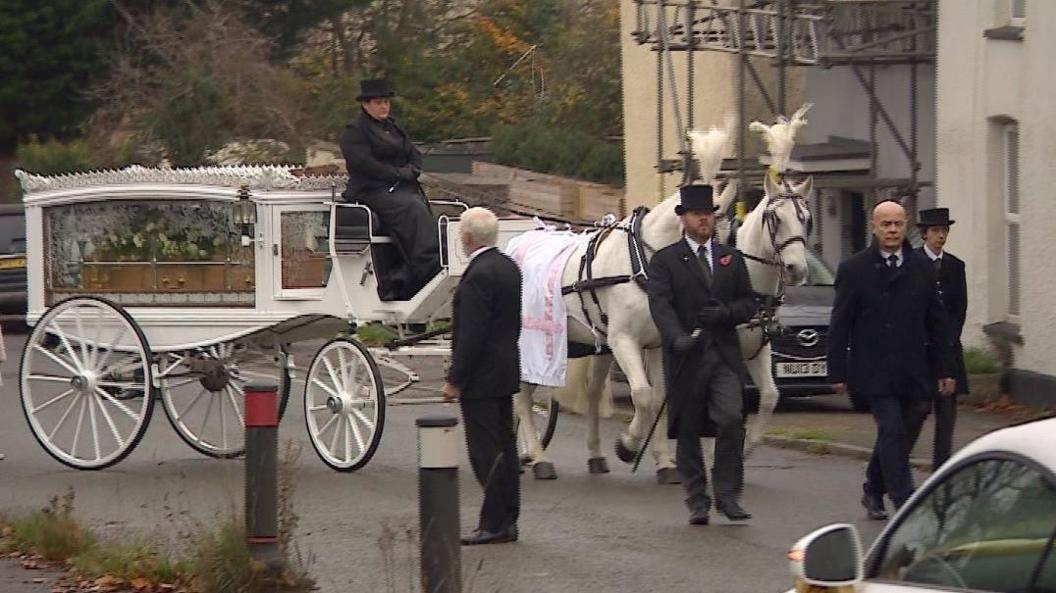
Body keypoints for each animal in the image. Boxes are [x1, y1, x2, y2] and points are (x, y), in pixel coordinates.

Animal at [515, 104, 811, 481]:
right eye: (776, 219)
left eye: (806, 218)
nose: (797, 269)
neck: (645, 262)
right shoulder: (625, 339)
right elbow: (643, 396)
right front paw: (628, 446)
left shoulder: (669, 343)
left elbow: (759, 396)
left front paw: (673, 461)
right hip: (534, 344)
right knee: (522, 396)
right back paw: (537, 456)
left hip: (596, 344)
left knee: (592, 393)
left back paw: (592, 455)